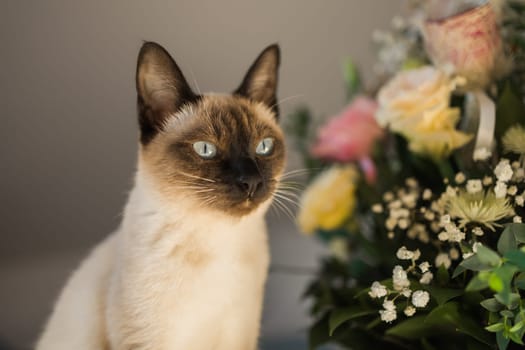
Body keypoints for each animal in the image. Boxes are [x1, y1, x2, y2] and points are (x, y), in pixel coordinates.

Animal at [35, 41, 282, 350]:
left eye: (264, 146)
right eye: (206, 149)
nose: (251, 181)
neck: (216, 240)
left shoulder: (239, 336)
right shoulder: (150, 339)